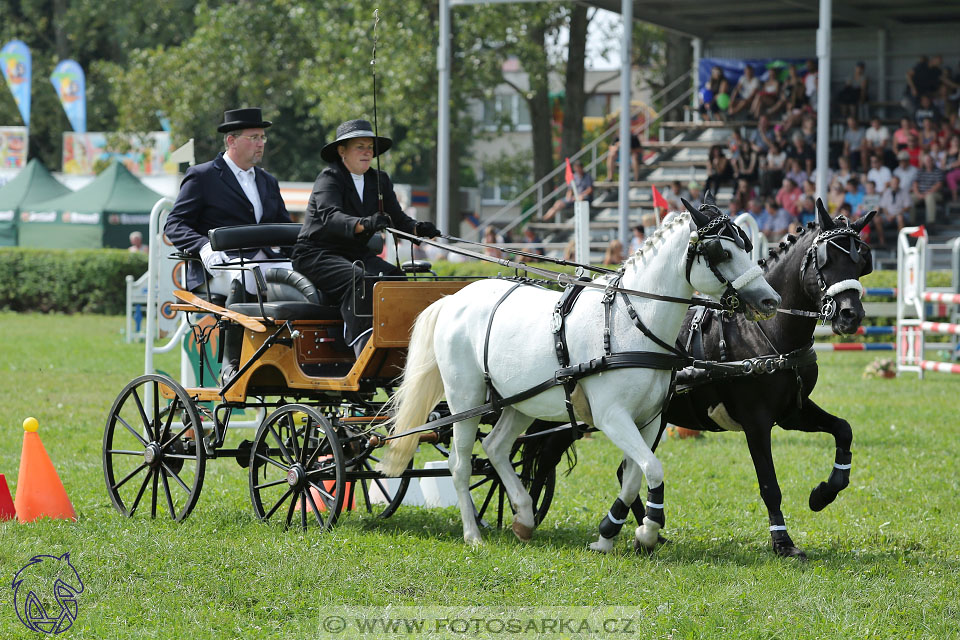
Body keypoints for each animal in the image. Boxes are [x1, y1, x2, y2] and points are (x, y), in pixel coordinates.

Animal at [376, 206, 780, 552]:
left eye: (747, 245)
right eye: (722, 253)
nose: (770, 301)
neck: (631, 322)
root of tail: (453, 299)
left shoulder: (649, 421)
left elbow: (635, 476)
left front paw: (611, 534)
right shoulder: (611, 416)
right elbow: (651, 467)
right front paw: (647, 531)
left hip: (520, 401)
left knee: (495, 447)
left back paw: (523, 517)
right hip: (466, 398)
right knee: (460, 465)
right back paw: (473, 534)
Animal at [520, 198, 872, 556]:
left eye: (861, 260)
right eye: (826, 260)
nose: (850, 315)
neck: (764, 333)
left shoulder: (791, 412)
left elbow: (844, 430)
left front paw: (823, 493)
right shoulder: (757, 420)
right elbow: (769, 484)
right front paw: (783, 542)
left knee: (619, 469)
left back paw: (645, 530)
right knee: (546, 458)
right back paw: (527, 514)